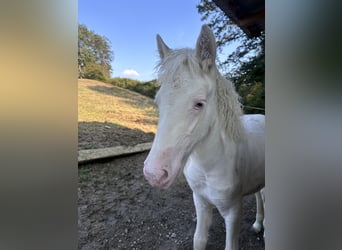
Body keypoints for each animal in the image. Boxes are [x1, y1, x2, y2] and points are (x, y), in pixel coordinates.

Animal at [144, 23, 264, 250]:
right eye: (157, 102)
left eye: (199, 103)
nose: (154, 174)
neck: (209, 167)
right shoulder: (200, 201)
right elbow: (199, 240)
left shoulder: (233, 212)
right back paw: (258, 224)